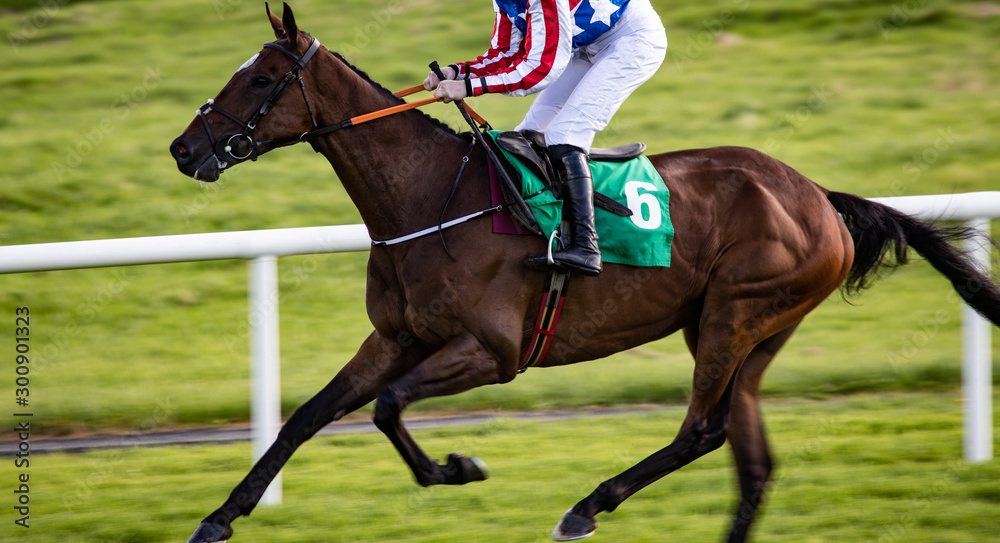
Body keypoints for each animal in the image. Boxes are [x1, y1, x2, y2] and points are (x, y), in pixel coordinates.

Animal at [169, 4, 1000, 542]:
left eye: (262, 79)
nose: (183, 148)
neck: (430, 196)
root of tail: (819, 196)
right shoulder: (395, 337)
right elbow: (307, 415)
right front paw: (218, 517)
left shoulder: (491, 351)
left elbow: (389, 407)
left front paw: (458, 465)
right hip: (751, 332)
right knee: (751, 459)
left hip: (738, 313)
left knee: (701, 429)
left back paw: (587, 505)